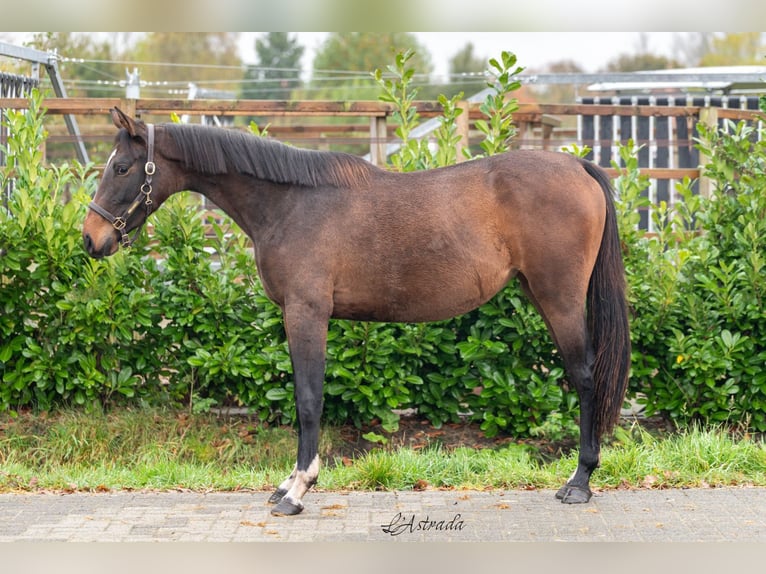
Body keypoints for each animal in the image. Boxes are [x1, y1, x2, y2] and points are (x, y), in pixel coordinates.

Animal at [84, 108, 632, 516]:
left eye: (122, 168)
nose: (92, 240)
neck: (289, 203)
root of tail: (578, 167)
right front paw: (288, 481)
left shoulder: (307, 314)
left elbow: (308, 400)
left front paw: (297, 489)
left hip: (560, 299)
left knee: (586, 378)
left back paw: (579, 481)